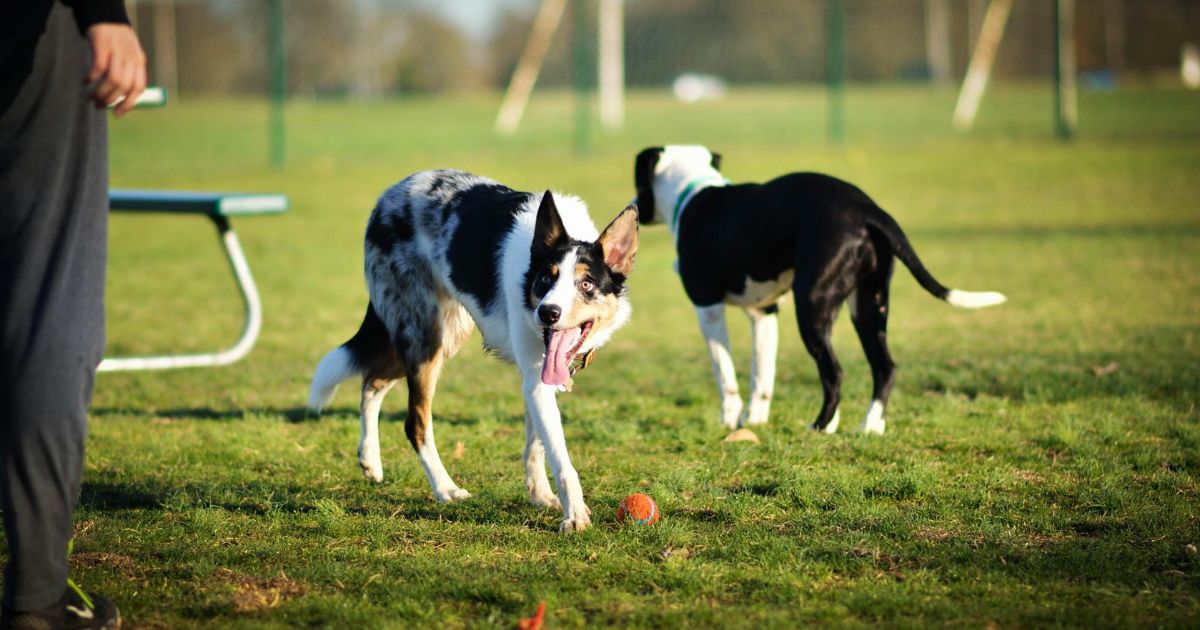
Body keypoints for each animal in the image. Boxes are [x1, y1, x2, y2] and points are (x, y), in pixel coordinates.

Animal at [314, 170, 643, 530]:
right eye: (545, 280)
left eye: (586, 285)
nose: (547, 313)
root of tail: (389, 195)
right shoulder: (537, 379)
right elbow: (560, 457)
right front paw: (574, 516)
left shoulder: (538, 379)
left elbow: (537, 444)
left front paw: (539, 495)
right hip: (425, 337)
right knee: (414, 422)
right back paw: (445, 488)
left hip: (441, 334)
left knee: (372, 382)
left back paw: (370, 459)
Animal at [633, 145, 1008, 434]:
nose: (634, 204)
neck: (695, 194)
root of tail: (867, 209)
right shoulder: (764, 313)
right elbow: (762, 376)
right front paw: (754, 421)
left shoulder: (708, 309)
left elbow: (725, 373)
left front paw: (730, 420)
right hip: (869, 306)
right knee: (884, 367)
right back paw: (868, 426)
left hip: (812, 306)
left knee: (834, 372)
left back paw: (820, 425)